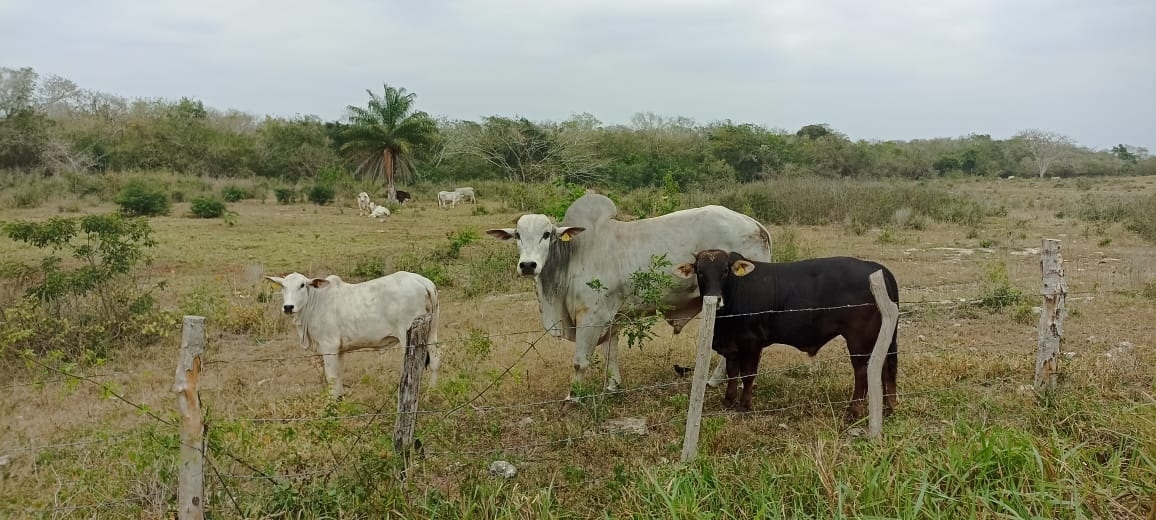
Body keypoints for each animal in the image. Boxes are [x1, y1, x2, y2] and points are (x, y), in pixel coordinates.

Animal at [265, 270, 441, 395]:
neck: (315, 303)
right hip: (431, 331)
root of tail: (422, 281)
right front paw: (340, 398)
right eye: (283, 286)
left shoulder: (329, 346)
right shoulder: (340, 349)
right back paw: (432, 392)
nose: (288, 307)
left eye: (302, 285)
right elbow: (339, 375)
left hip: (408, 335)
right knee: (435, 360)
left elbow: (331, 377)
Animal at [483, 192, 772, 399]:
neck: (573, 255)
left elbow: (580, 362)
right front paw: (612, 386)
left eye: (547, 234)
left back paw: (718, 381)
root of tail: (757, 225)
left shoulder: (592, 316)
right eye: (517, 235)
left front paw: (572, 398)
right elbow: (611, 352)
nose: (528, 265)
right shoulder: (610, 316)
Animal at [670, 250, 901, 418]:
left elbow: (747, 374)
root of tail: (876, 267)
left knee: (862, 371)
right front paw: (728, 400)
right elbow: (732, 371)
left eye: (725, 270)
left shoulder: (751, 341)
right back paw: (888, 407)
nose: (715, 299)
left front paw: (745, 405)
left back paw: (854, 411)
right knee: (885, 368)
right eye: (700, 271)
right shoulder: (732, 346)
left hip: (859, 339)